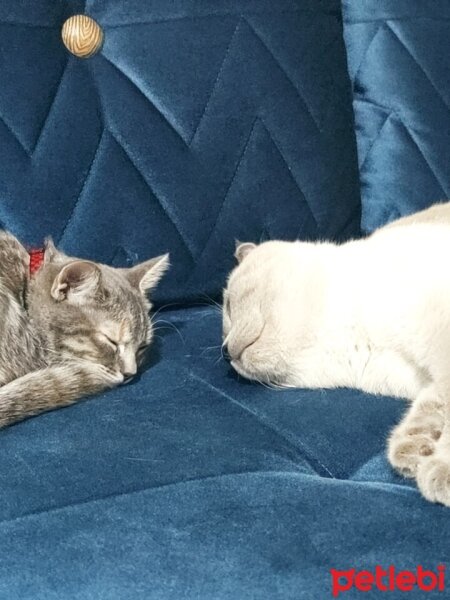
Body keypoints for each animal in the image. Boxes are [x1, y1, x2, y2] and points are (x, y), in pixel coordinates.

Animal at [221, 205, 450, 506]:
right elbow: (430, 408)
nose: (225, 350)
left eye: (227, 306)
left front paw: (439, 469)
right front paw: (415, 451)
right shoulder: (427, 377)